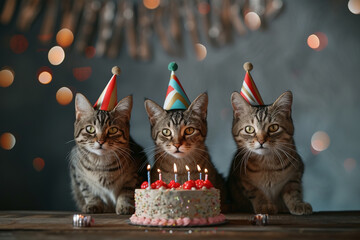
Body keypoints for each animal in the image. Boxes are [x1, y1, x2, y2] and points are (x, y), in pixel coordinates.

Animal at [69, 66, 147, 215]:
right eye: (90, 129)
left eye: (112, 130)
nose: (100, 141)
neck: (102, 165)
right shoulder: (78, 175)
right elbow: (89, 192)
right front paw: (93, 204)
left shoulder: (136, 173)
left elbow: (127, 191)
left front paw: (125, 205)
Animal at [228, 62, 312, 216]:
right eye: (249, 129)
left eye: (273, 128)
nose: (261, 140)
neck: (267, 165)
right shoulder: (241, 180)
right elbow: (255, 191)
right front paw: (264, 205)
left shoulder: (296, 172)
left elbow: (293, 190)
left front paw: (297, 204)